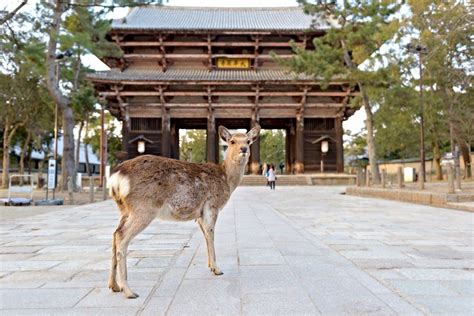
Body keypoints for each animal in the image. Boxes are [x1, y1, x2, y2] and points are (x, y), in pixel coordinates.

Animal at [106, 124, 260, 298]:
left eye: (248, 141)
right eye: (232, 141)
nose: (243, 149)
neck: (226, 180)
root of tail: (116, 178)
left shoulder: (199, 213)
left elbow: (206, 235)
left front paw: (210, 265)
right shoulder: (211, 205)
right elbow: (211, 233)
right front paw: (217, 269)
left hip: (124, 209)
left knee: (114, 234)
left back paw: (113, 285)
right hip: (143, 208)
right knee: (121, 236)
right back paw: (128, 290)